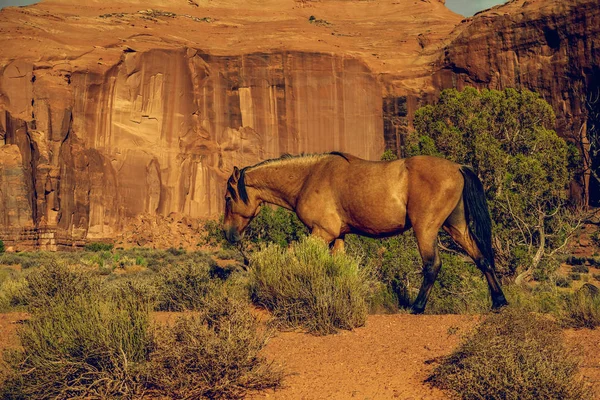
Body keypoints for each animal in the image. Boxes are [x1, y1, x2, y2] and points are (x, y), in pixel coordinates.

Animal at [223, 152, 508, 314]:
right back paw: (499, 302)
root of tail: (458, 167)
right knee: (482, 259)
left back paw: (417, 308)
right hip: (456, 227)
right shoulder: (337, 237)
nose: (228, 234)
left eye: (227, 198)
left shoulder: (320, 233)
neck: (309, 176)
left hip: (426, 229)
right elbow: (336, 268)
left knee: (432, 265)